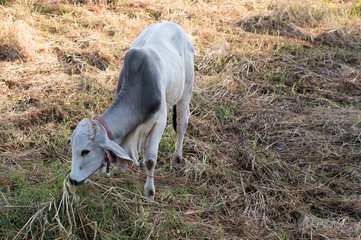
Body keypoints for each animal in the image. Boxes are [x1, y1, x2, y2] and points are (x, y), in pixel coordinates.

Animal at [68, 21, 193, 200]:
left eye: (85, 151)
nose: (72, 180)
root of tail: (173, 24)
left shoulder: (160, 121)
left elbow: (150, 159)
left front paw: (149, 192)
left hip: (187, 89)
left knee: (182, 125)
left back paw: (177, 159)